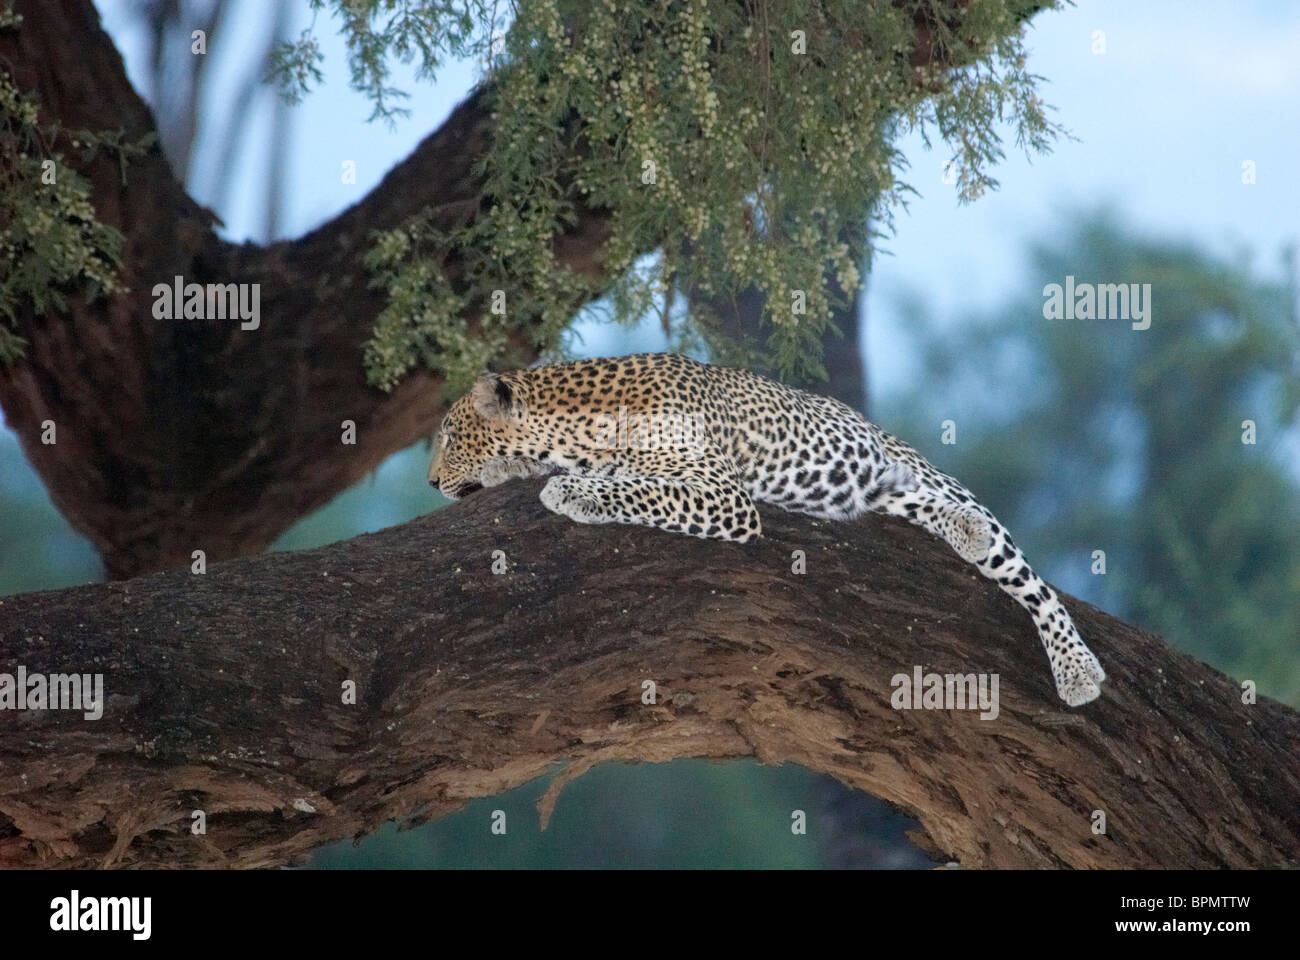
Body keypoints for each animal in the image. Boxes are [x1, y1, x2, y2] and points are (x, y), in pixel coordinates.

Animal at [428, 352, 1106, 706]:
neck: (575, 428)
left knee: (1031, 581)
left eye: (448, 438)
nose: (431, 482)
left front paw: (570, 491)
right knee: (930, 512)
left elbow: (641, 489)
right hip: (890, 492)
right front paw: (528, 473)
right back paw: (960, 530)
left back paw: (1074, 667)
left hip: (932, 479)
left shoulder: (722, 493)